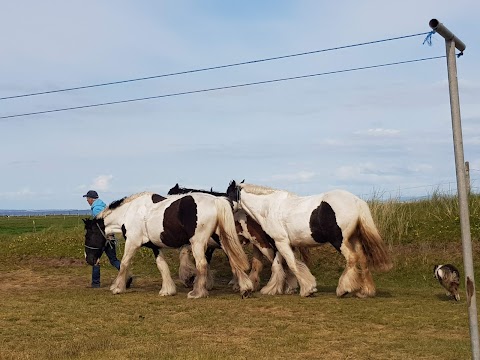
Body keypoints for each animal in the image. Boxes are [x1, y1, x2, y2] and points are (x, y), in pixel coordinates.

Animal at [84, 191, 253, 298]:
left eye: (88, 235)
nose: (89, 260)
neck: (130, 213)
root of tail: (216, 201)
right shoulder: (155, 247)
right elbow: (162, 266)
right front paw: (167, 290)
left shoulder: (132, 242)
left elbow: (124, 263)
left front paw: (118, 287)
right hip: (221, 240)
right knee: (233, 260)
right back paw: (245, 287)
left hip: (198, 243)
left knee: (202, 265)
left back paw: (197, 293)